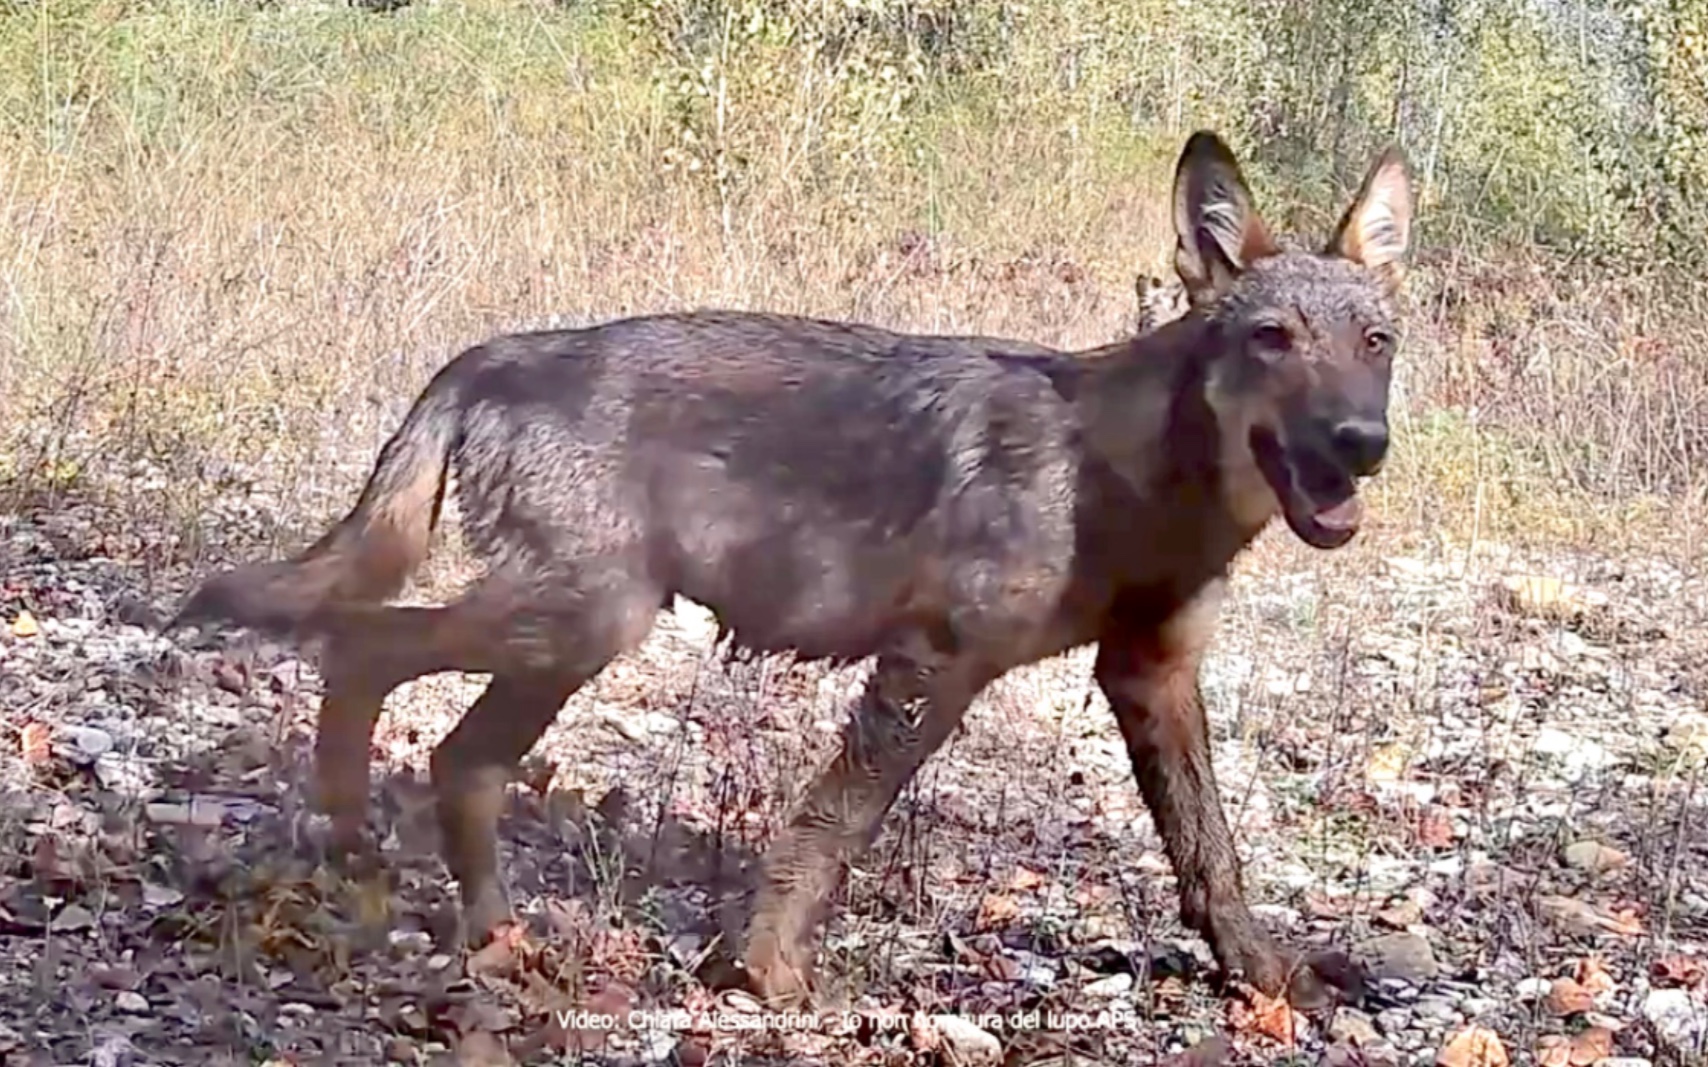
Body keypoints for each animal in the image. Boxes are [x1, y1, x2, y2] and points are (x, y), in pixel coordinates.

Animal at [169, 131, 1414, 1003]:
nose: (1363, 443)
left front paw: (1261, 975)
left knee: (449, 746)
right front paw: (764, 972)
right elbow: (827, 831)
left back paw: (471, 918)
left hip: (566, 635)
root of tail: (489, 354)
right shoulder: (930, 665)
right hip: (579, 620)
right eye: (1272, 340)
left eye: (1375, 344)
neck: (1129, 477)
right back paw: (364, 849)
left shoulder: (1151, 677)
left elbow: (1213, 856)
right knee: (368, 653)